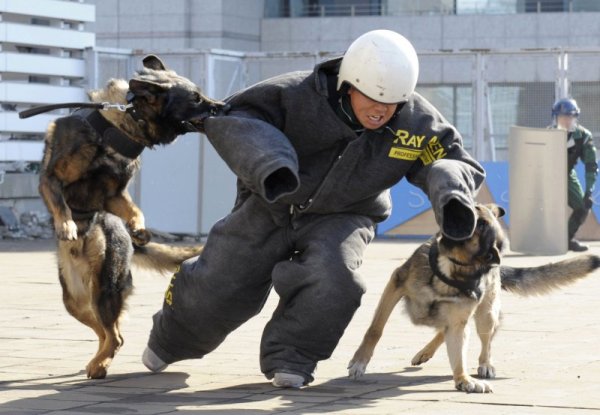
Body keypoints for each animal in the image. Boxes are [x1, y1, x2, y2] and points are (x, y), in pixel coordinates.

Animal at [39, 55, 221, 380]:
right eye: (195, 99)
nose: (224, 106)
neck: (120, 123)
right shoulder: (51, 178)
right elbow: (61, 203)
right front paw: (67, 224)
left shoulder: (115, 195)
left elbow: (135, 209)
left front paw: (139, 228)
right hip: (76, 299)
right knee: (105, 331)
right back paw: (98, 361)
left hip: (102, 287)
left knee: (115, 335)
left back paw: (100, 364)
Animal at [350, 205, 596, 394]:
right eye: (474, 208)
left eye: (481, 225)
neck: (449, 269)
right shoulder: (395, 285)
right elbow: (375, 329)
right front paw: (360, 361)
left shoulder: (459, 321)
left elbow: (459, 355)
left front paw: (463, 379)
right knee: (443, 332)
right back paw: (425, 353)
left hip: (486, 316)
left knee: (482, 341)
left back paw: (485, 364)